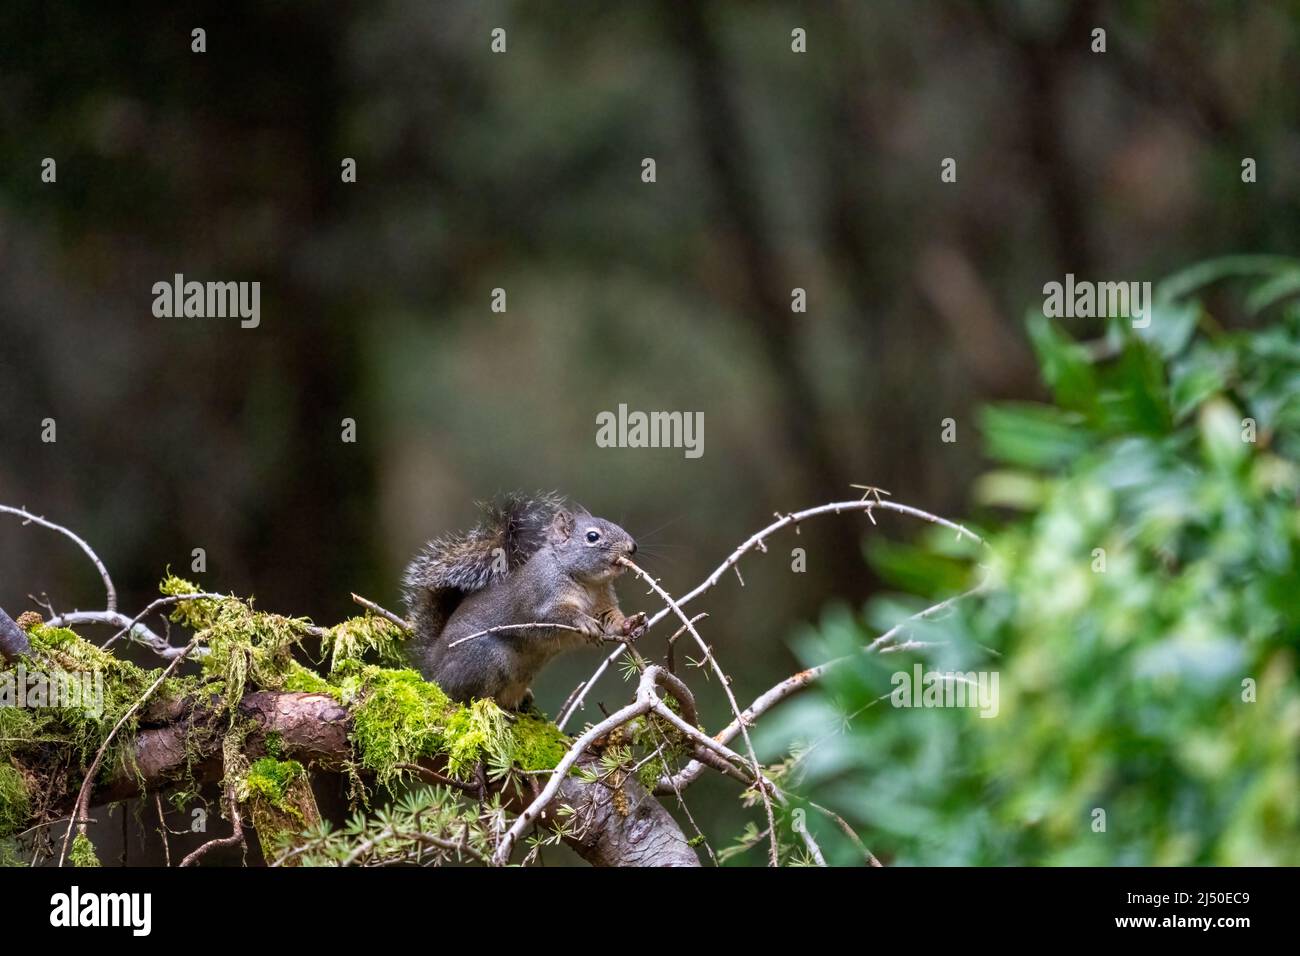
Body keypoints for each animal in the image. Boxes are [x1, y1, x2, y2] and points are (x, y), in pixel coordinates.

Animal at [401, 493, 646, 711]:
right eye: (592, 537)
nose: (632, 547)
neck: (589, 584)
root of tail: (433, 667)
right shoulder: (541, 598)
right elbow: (557, 615)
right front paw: (583, 622)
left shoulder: (603, 605)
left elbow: (611, 620)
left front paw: (632, 623)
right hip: (484, 657)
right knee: (465, 698)